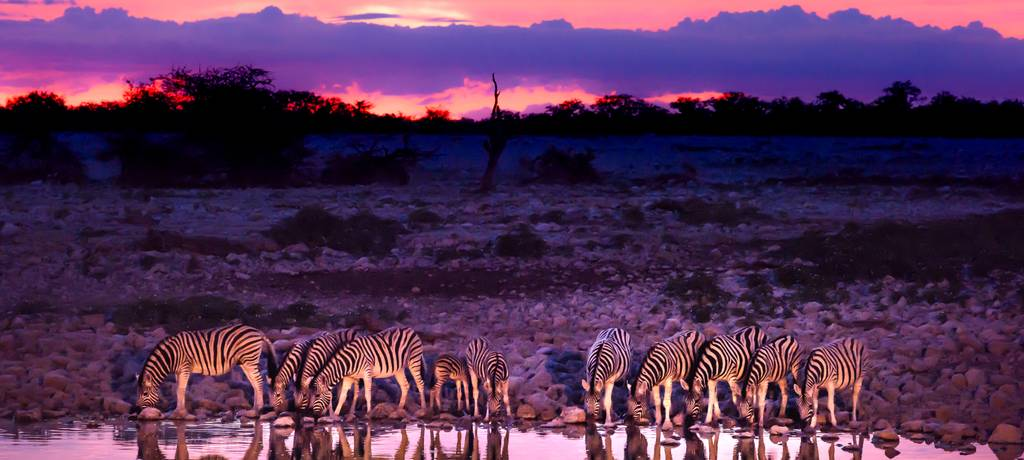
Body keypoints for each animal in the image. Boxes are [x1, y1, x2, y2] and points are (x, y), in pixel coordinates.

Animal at [138, 323, 280, 415]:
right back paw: (254, 409)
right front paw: (179, 410)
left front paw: (180, 412)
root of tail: (257, 331)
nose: (138, 411)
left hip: (250, 360)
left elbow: (180, 390)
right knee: (255, 383)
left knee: (259, 381)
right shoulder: (179, 371)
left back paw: (258, 408)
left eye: (145, 394)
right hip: (245, 362)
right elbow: (179, 389)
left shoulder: (185, 367)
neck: (171, 355)